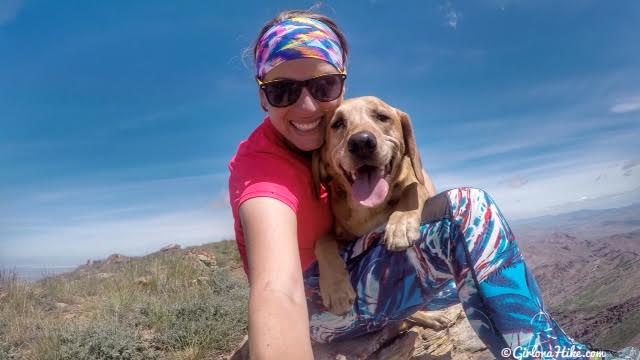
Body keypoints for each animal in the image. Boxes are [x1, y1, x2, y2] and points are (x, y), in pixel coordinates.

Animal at [312, 96, 450, 332]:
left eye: (382, 117)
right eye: (337, 123)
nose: (361, 143)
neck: (369, 209)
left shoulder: (417, 182)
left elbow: (412, 189)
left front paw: (400, 225)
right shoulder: (344, 239)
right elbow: (322, 242)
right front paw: (336, 289)